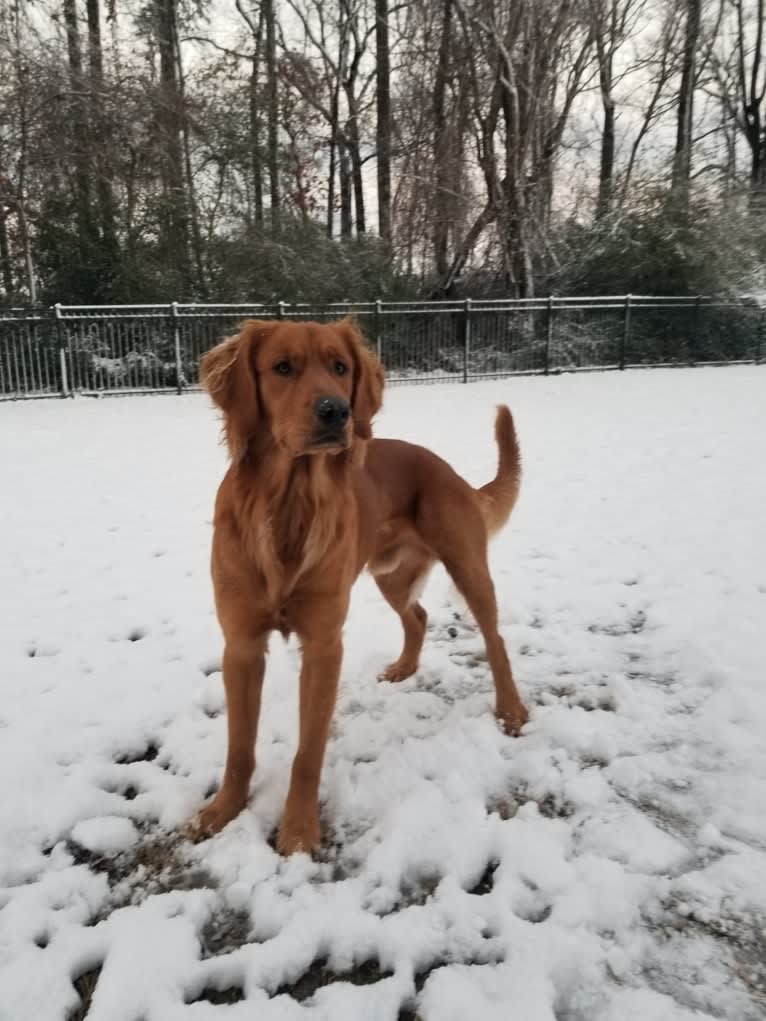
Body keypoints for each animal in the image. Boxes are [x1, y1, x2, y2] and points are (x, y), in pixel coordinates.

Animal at [188, 318, 531, 853]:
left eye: (340, 367)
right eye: (282, 367)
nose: (337, 411)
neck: (289, 504)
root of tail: (451, 472)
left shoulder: (324, 644)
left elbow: (308, 752)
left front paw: (299, 832)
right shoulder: (240, 645)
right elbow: (239, 746)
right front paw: (222, 810)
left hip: (468, 567)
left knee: (494, 640)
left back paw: (510, 710)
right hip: (390, 576)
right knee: (418, 616)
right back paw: (405, 668)